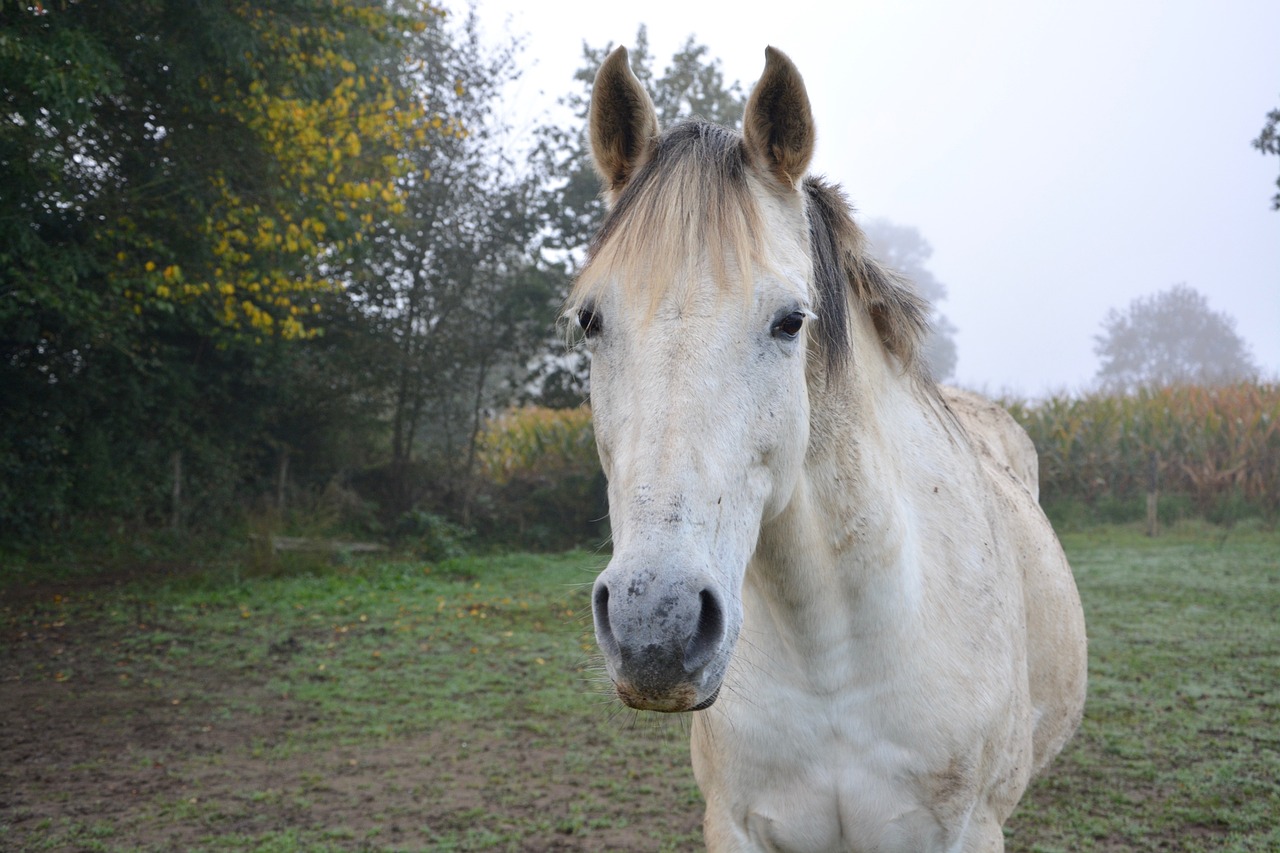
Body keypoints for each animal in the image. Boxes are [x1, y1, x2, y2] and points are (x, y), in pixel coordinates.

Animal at [568, 46, 1080, 850]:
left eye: (789, 321)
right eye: (590, 320)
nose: (656, 626)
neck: (832, 657)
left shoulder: (968, 830)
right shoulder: (736, 825)